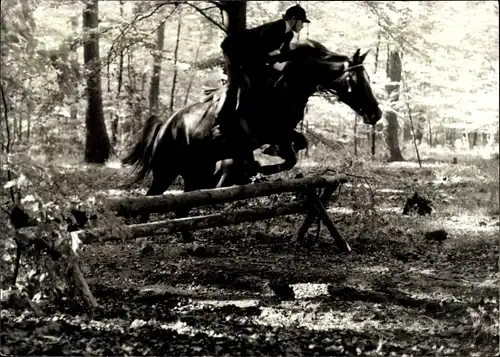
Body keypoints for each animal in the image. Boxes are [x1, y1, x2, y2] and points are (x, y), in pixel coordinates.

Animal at [123, 39, 380, 236]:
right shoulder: (267, 133)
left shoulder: (281, 133)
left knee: (183, 207)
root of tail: (165, 125)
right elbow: (285, 156)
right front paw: (251, 170)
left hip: (196, 171)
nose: (375, 114)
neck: (284, 87)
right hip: (166, 169)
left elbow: (296, 149)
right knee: (152, 200)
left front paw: (255, 167)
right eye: (355, 80)